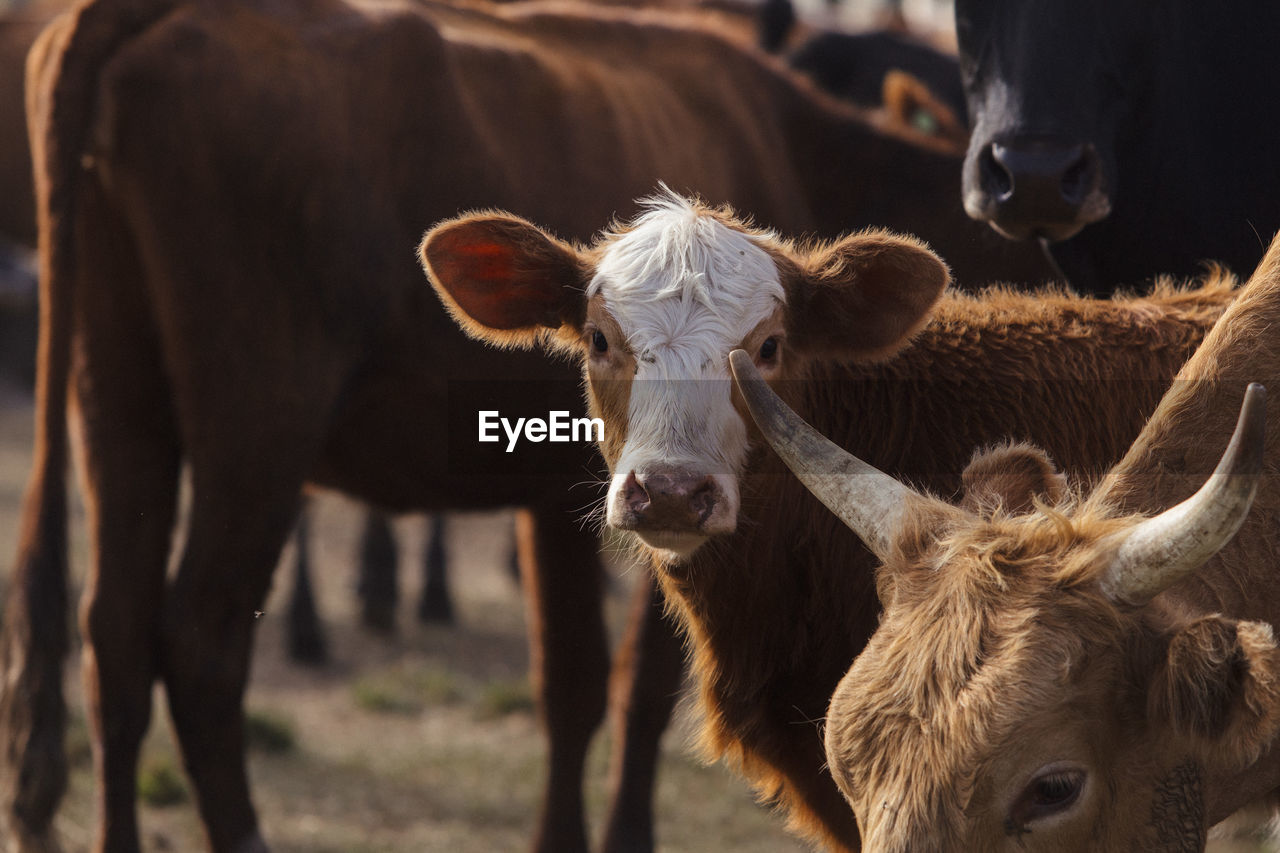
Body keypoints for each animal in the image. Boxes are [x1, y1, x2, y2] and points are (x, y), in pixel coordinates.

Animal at [7, 0, 1049, 845]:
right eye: (597, 335)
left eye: (768, 344)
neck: (795, 143)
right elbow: (634, 690)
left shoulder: (561, 495)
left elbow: (572, 685)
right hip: (256, 424)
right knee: (200, 640)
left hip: (120, 407)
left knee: (112, 632)